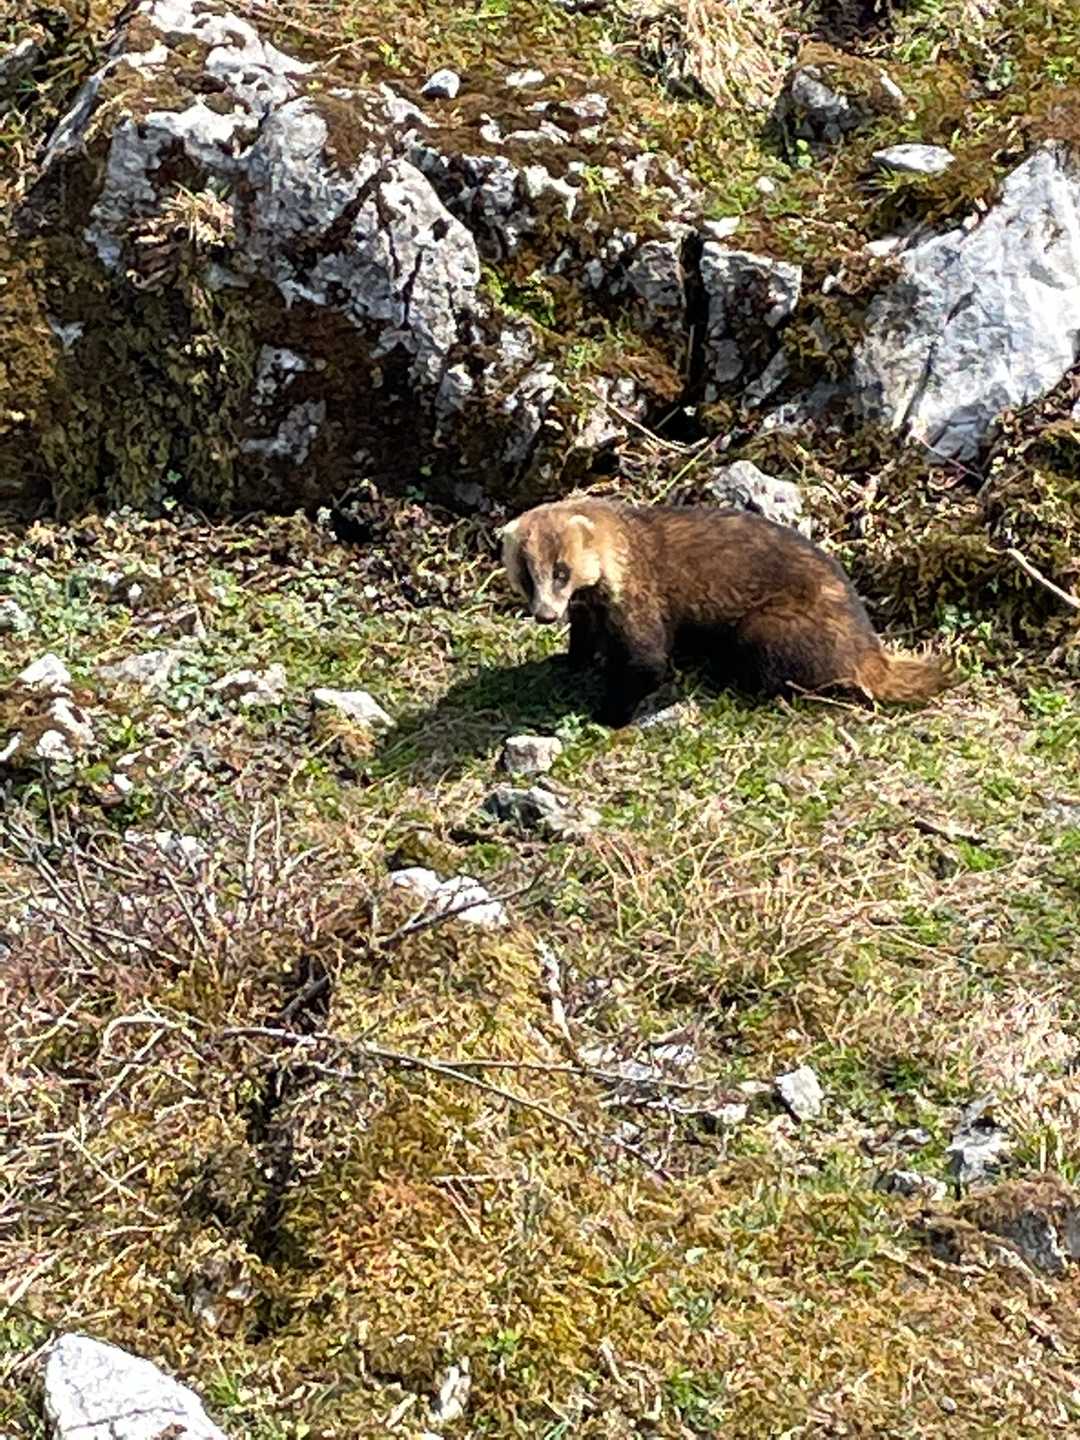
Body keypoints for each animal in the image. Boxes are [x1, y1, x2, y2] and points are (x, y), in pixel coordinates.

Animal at [500, 498, 950, 727]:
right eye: (525, 573)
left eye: (561, 570)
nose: (544, 614)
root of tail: (870, 652)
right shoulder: (586, 615)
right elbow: (581, 645)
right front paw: (565, 662)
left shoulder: (641, 611)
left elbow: (647, 667)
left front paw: (607, 715)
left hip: (762, 627)